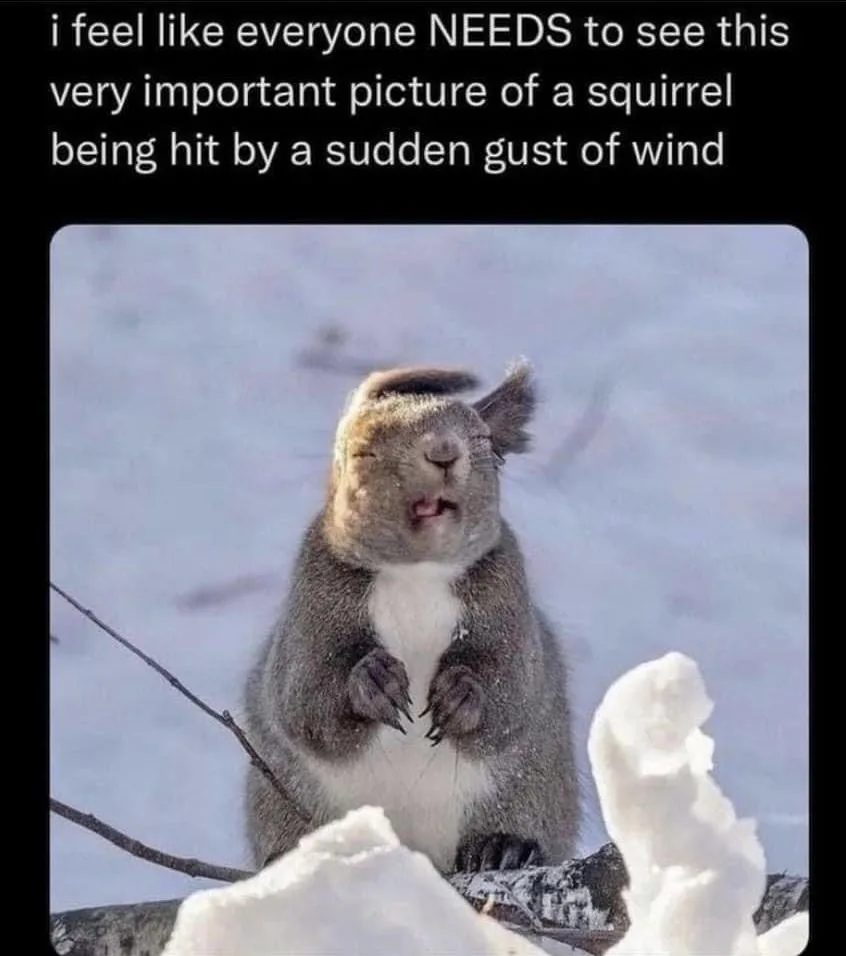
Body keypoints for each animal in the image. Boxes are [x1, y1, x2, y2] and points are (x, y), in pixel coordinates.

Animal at [243, 361, 580, 873]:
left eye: (482, 440)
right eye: (361, 450)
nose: (443, 451)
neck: (417, 574)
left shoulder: (509, 604)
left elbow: (514, 688)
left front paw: (463, 692)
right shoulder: (311, 606)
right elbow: (303, 699)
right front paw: (371, 681)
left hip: (530, 792)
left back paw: (504, 846)